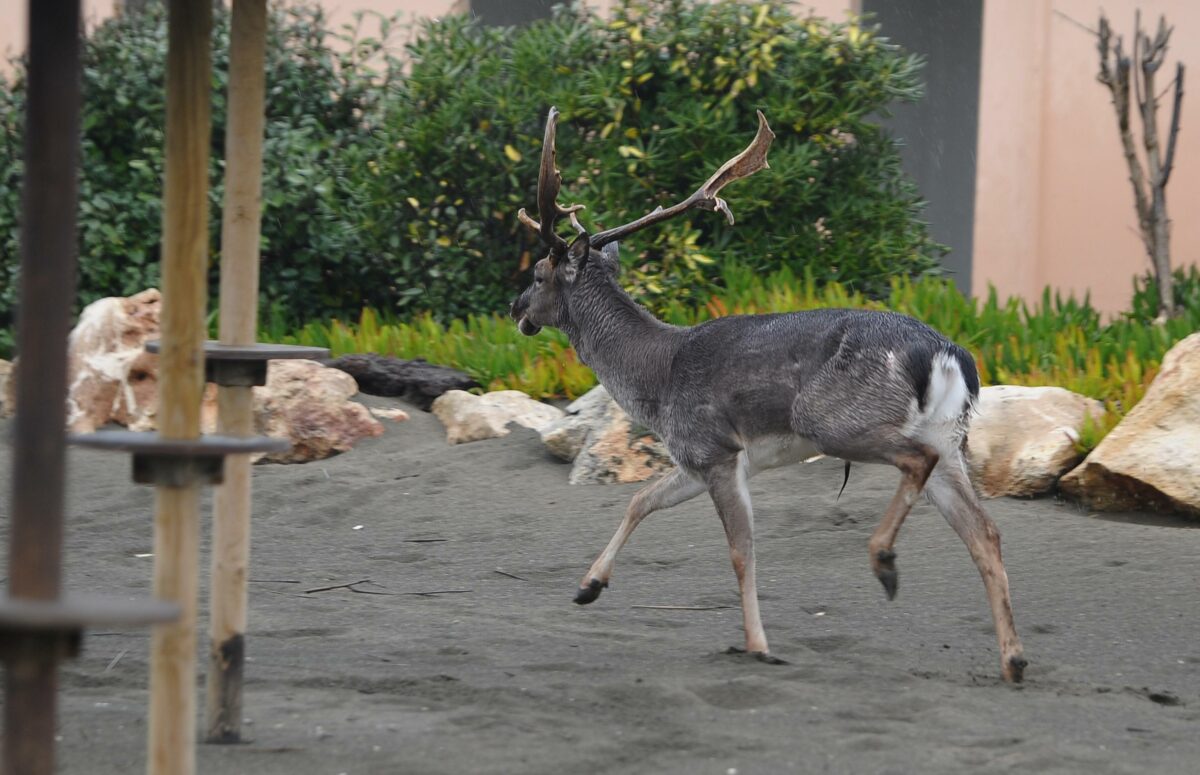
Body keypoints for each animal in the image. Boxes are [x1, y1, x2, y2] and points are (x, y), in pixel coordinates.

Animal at [511, 106, 1027, 681]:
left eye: (539, 273)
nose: (515, 308)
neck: (655, 380)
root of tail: (949, 355)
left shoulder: (712, 448)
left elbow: (741, 551)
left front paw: (757, 644)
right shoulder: (701, 458)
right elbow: (643, 499)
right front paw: (588, 586)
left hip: (838, 421)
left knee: (917, 465)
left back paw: (883, 561)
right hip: (948, 436)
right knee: (984, 532)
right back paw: (1013, 660)